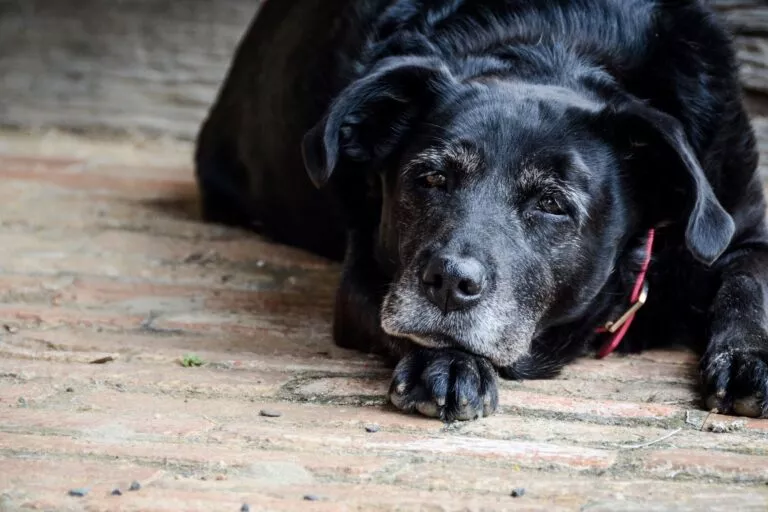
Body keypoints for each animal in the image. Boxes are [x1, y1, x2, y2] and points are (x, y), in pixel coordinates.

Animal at [198, 0, 768, 422]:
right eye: (431, 178)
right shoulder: (368, 273)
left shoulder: (744, 227)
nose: (449, 281)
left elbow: (749, 281)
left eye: (553, 203)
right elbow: (403, 324)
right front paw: (448, 362)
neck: (556, 44)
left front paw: (748, 359)